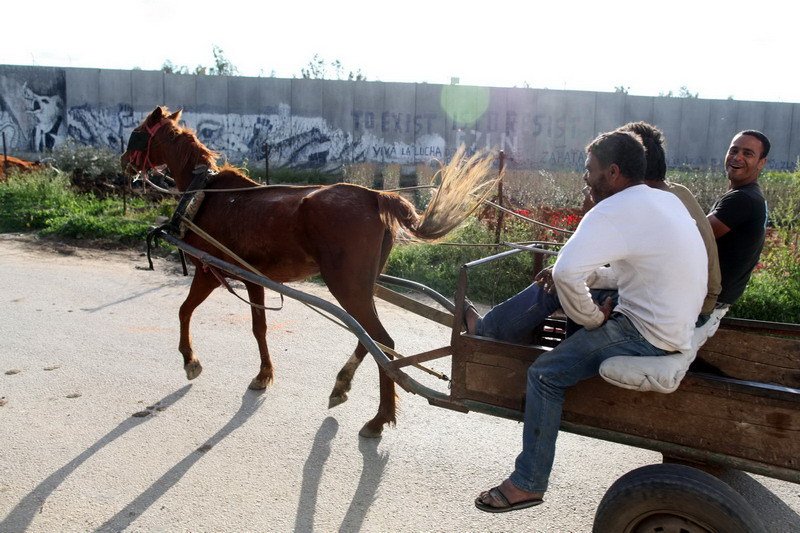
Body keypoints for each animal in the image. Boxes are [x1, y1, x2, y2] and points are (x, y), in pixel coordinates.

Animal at [122, 105, 496, 436]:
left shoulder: (208, 270)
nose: (125, 165)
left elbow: (184, 310)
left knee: (381, 341)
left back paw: (379, 418)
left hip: (345, 285)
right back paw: (343, 384)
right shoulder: (253, 278)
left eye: (137, 133)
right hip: (362, 285)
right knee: (369, 338)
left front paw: (190, 360)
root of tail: (376, 196)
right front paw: (264, 374)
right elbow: (259, 328)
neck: (207, 194)